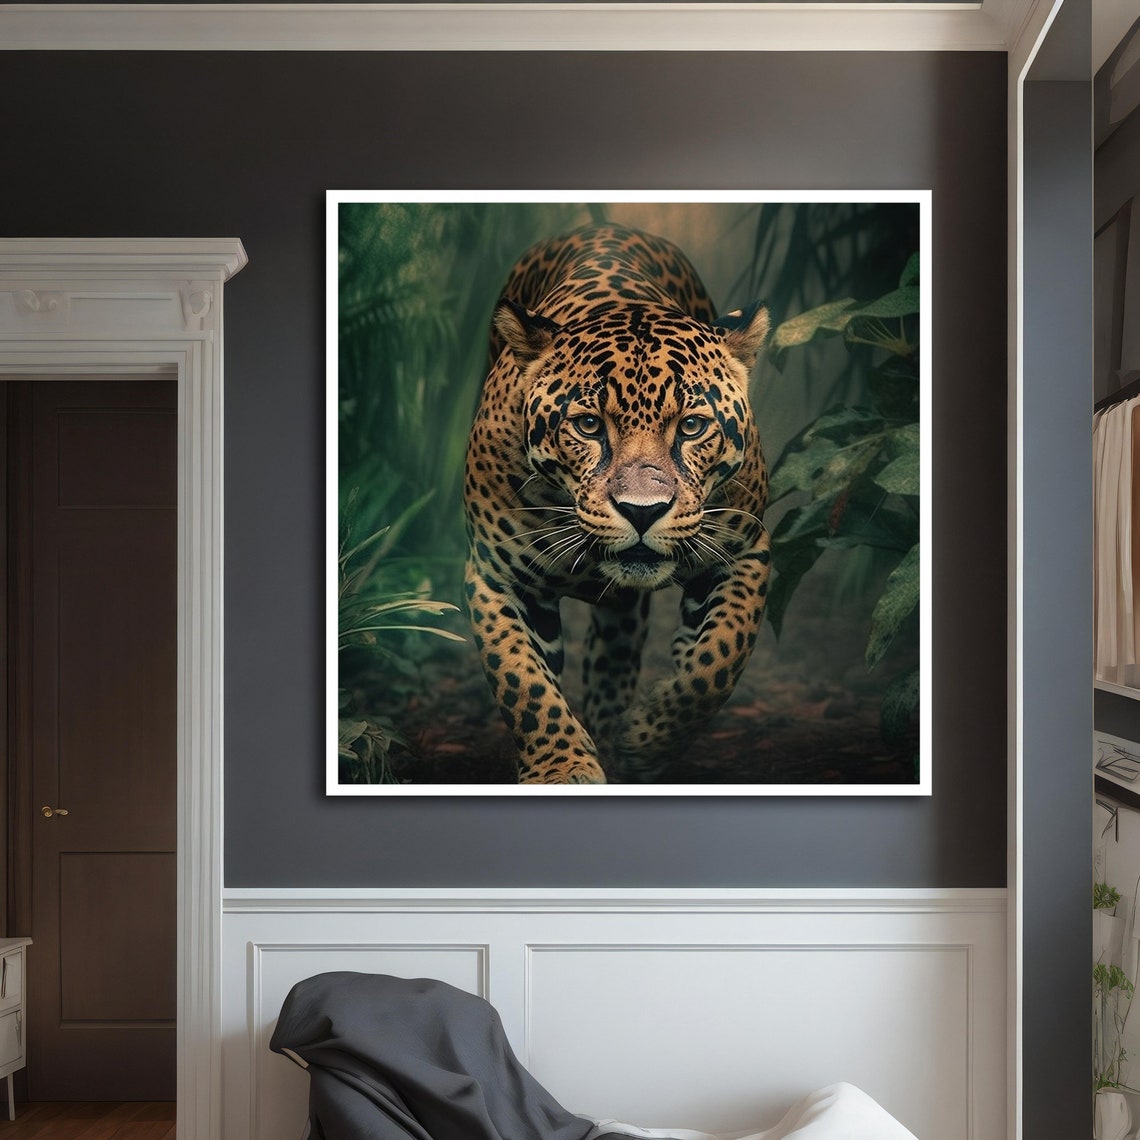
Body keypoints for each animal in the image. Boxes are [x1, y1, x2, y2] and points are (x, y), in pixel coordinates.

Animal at [463, 223, 771, 784]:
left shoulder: (745, 550)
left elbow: (718, 659)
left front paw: (646, 737)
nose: (642, 511)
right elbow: (523, 682)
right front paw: (561, 767)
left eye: (691, 426)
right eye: (588, 425)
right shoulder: (497, 575)